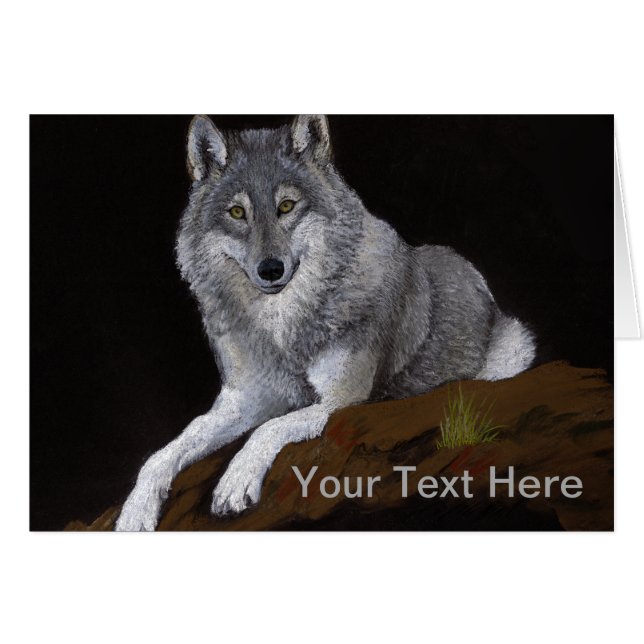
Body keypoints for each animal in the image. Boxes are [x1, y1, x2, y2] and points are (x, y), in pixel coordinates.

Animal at [115, 115, 536, 531]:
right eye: (237, 213)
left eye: (286, 206)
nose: (271, 269)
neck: (283, 328)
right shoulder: (245, 399)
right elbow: (165, 451)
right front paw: (134, 512)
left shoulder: (342, 400)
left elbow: (268, 429)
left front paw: (235, 482)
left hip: (514, 350)